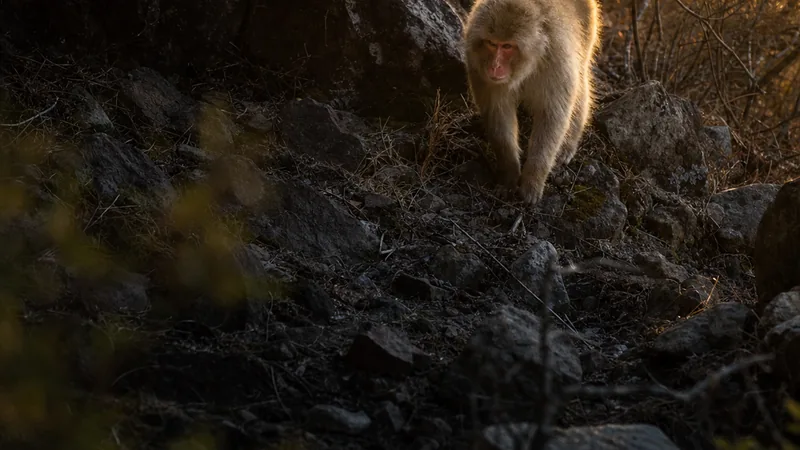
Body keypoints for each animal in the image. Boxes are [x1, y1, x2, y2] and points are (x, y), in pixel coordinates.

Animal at [462, 0, 600, 205]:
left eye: (507, 46)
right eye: (492, 43)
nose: (494, 66)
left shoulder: (555, 61)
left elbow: (552, 116)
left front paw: (533, 179)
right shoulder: (480, 67)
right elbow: (498, 113)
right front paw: (509, 175)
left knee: (581, 81)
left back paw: (569, 144)